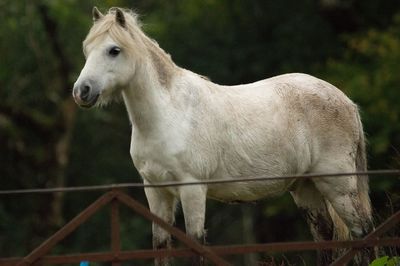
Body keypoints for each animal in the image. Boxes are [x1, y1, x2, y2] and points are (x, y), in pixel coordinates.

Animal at [74, 7, 376, 264]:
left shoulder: (193, 189)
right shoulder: (155, 191)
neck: (169, 113)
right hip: (306, 187)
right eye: (87, 50)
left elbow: (196, 246)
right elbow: (161, 247)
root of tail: (346, 101)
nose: (82, 91)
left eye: (114, 50)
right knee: (324, 237)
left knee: (364, 232)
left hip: (338, 185)